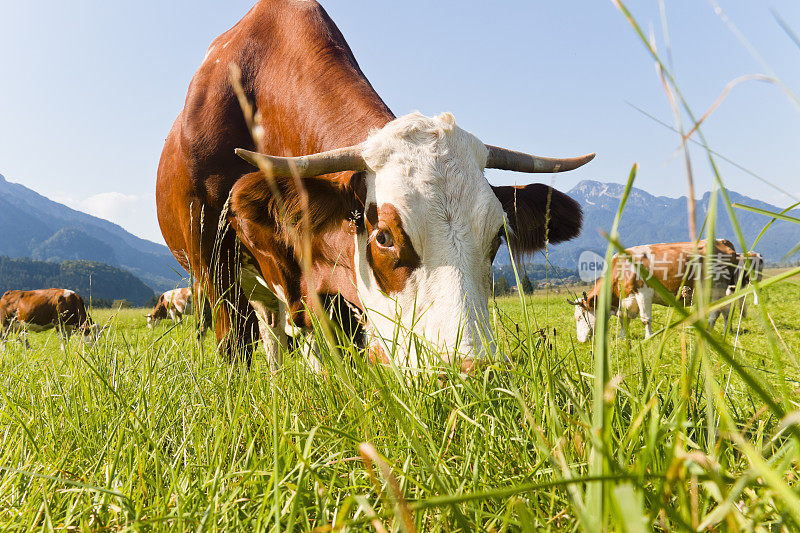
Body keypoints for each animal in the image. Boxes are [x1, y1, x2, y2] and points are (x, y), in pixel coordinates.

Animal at [568, 240, 736, 340]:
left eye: (580, 317)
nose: (580, 341)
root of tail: (722, 242)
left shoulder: (644, 293)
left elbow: (645, 319)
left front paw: (648, 337)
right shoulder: (625, 300)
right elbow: (623, 319)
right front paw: (622, 337)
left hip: (717, 288)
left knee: (717, 312)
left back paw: (709, 330)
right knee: (726, 311)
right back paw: (727, 331)